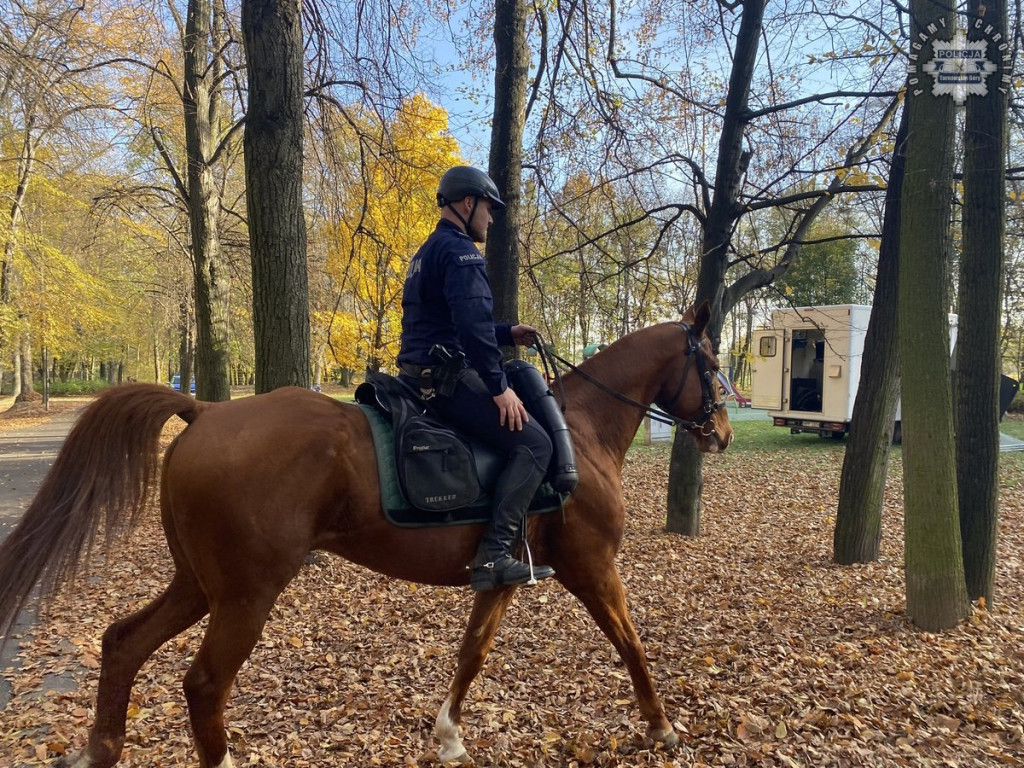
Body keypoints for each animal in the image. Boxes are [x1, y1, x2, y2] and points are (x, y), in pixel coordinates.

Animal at [0, 303, 733, 765]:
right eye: (710, 360)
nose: (723, 432)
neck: (578, 429)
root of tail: (204, 410)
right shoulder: (593, 568)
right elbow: (631, 644)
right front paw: (662, 728)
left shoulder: (502, 577)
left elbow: (472, 654)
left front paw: (448, 737)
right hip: (244, 596)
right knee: (204, 685)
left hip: (198, 585)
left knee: (123, 643)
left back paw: (102, 749)